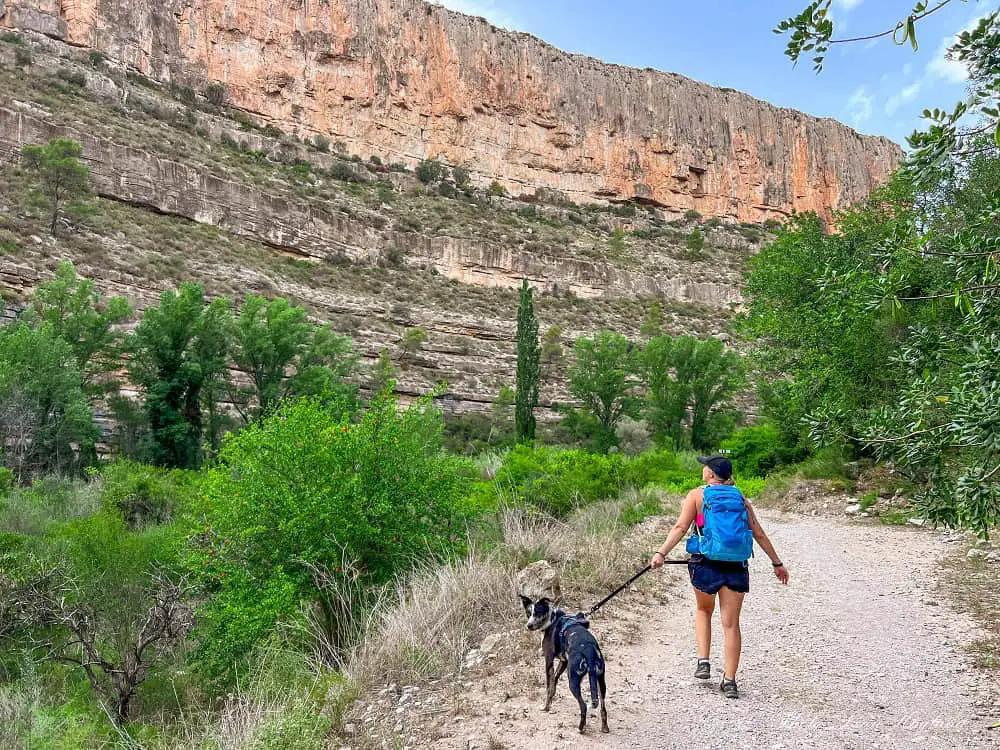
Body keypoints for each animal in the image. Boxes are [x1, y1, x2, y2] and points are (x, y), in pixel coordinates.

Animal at [524, 600, 608, 736]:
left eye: (538, 613)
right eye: (528, 613)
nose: (529, 625)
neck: (553, 619)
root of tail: (588, 649)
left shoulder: (548, 661)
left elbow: (548, 686)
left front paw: (546, 707)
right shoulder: (563, 661)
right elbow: (554, 682)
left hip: (573, 681)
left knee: (583, 706)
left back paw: (581, 728)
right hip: (601, 683)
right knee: (603, 708)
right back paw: (605, 727)